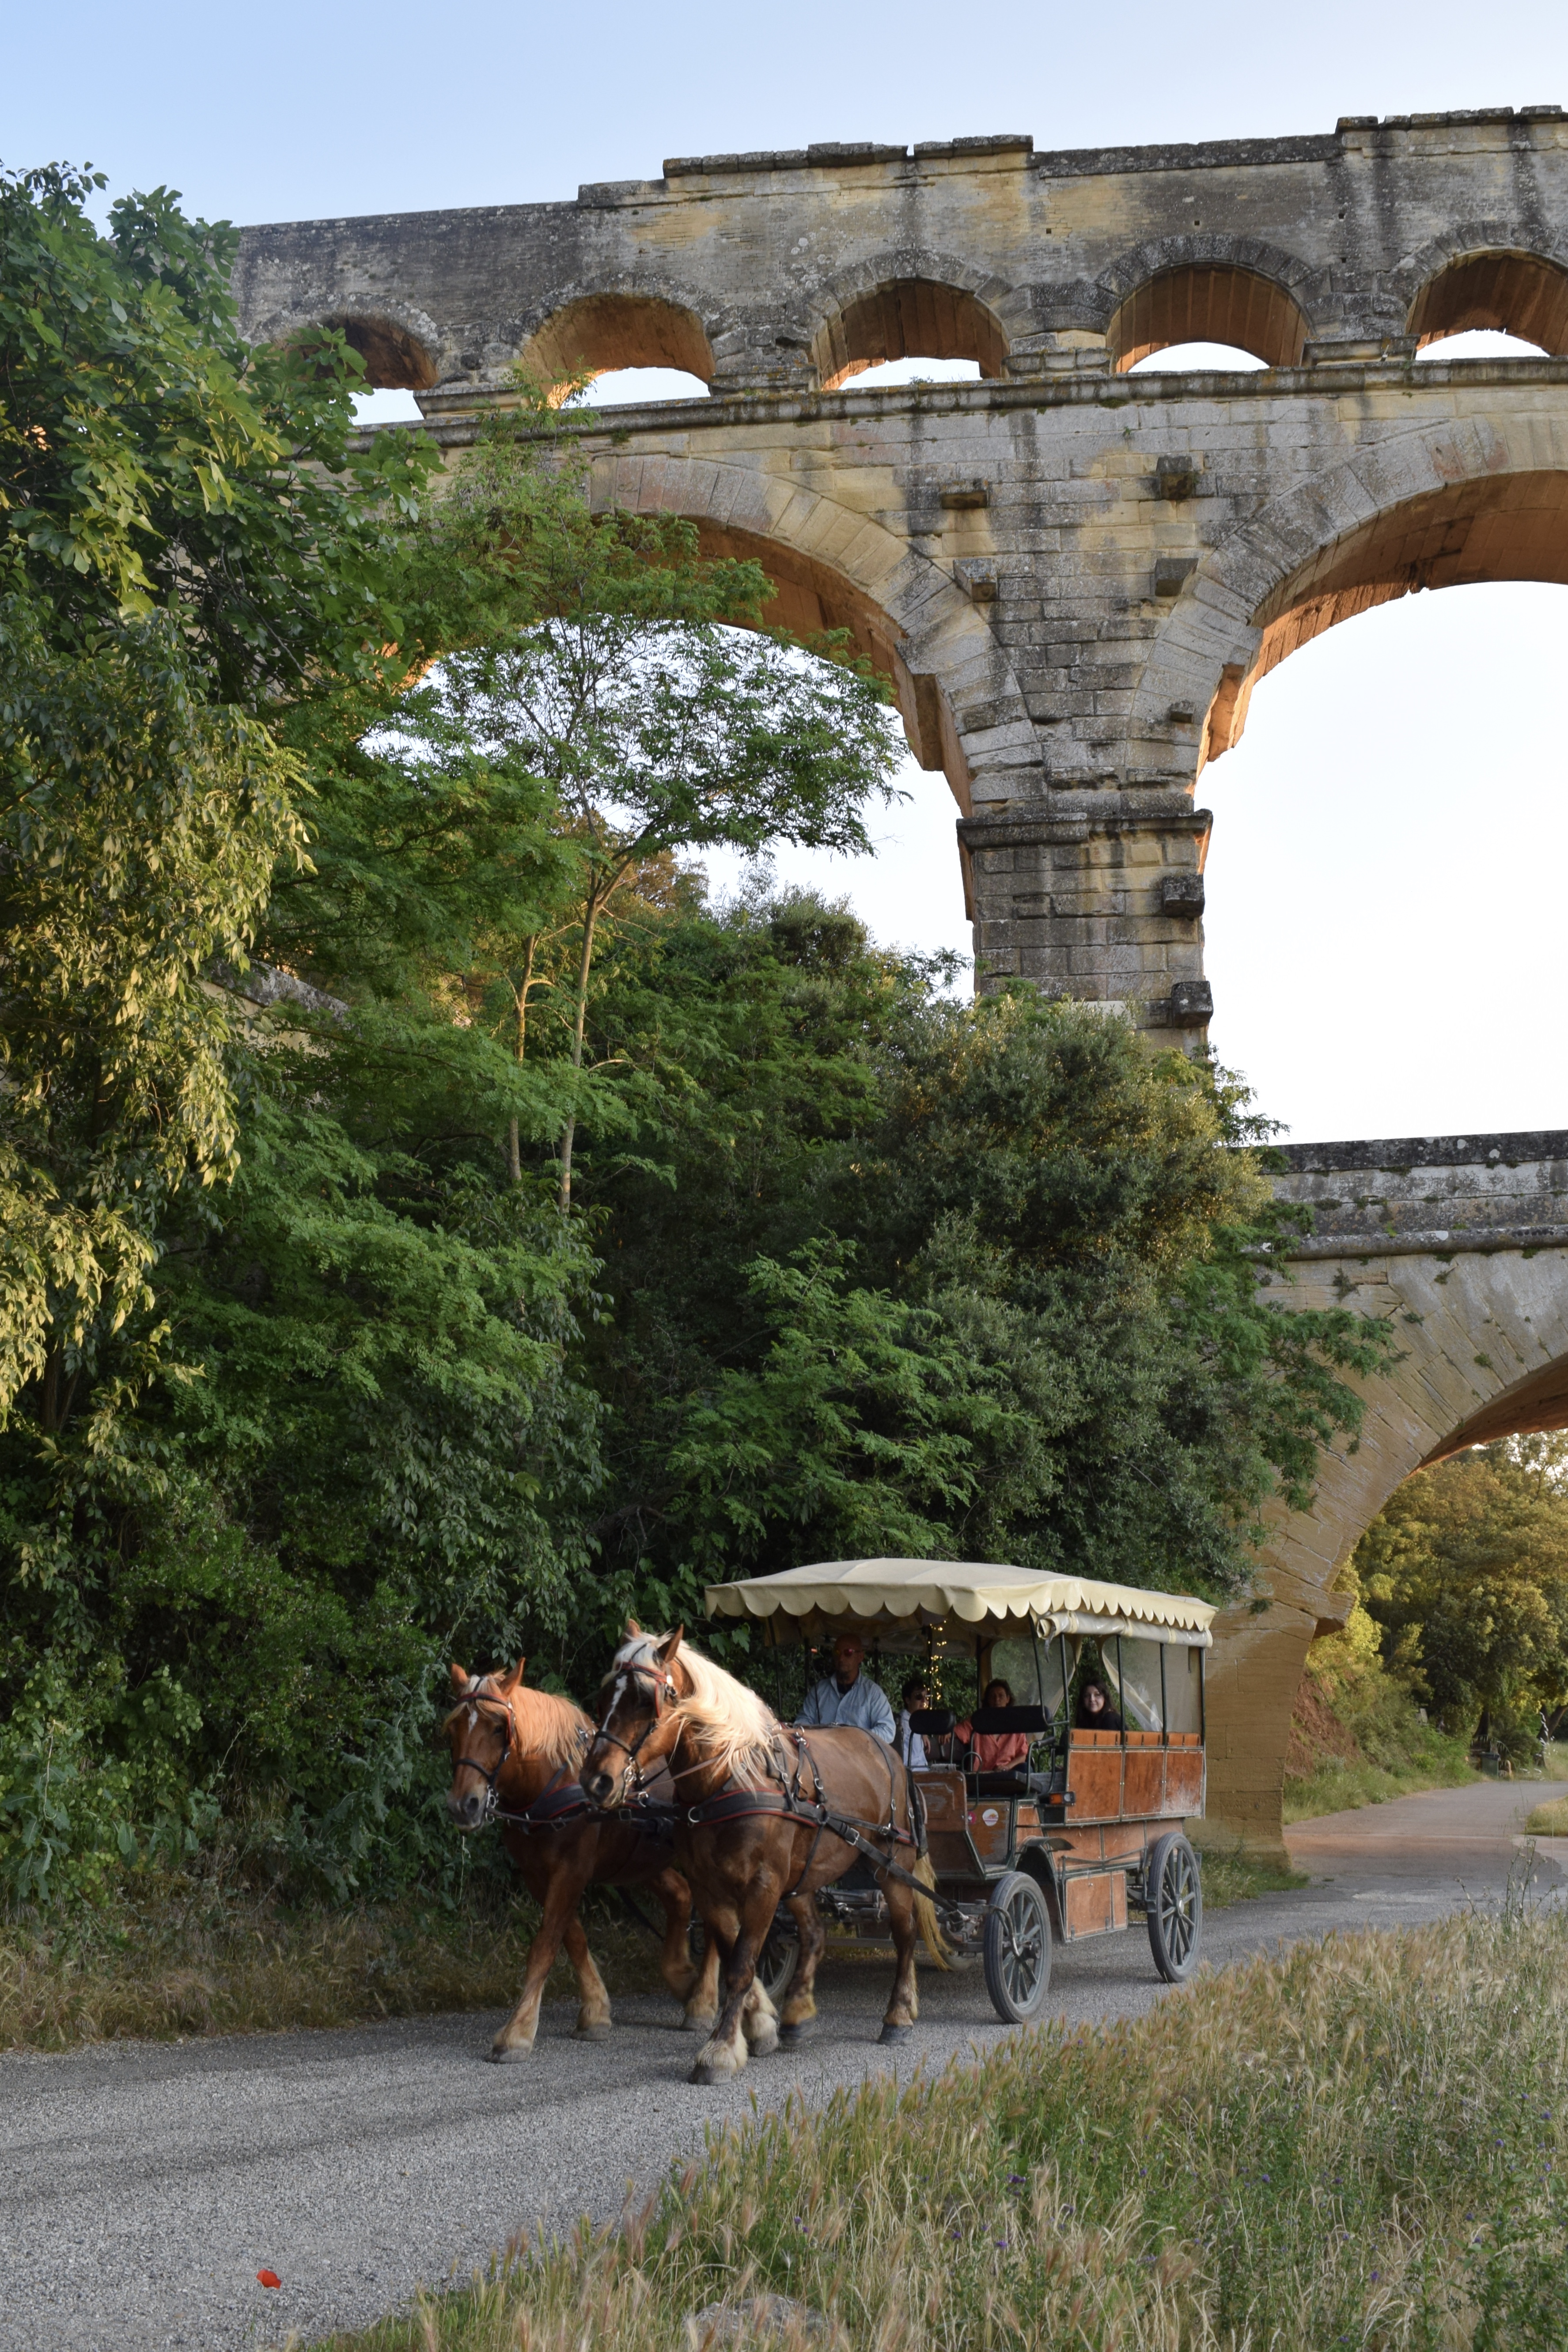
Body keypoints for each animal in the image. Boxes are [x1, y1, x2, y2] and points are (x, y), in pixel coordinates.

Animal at [444, 1655, 719, 2060]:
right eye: (454, 1727)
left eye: (497, 1728)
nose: (464, 1805)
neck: (551, 1783)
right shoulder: (538, 1875)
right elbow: (571, 1936)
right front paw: (595, 2012)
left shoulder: (572, 1868)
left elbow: (545, 1943)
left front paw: (518, 2031)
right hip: (640, 1859)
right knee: (681, 1895)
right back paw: (682, 1977)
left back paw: (702, 2001)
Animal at [576, 1618, 945, 2098]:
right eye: (604, 1698)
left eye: (646, 1700)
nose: (596, 1781)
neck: (728, 1779)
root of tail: (892, 1755)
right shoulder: (710, 1888)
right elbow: (736, 1955)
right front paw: (762, 2025)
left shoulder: (764, 1885)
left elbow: (741, 1964)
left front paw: (719, 2050)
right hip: (803, 1876)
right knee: (815, 1934)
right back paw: (798, 2014)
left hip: (891, 1865)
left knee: (904, 1934)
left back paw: (898, 2014)